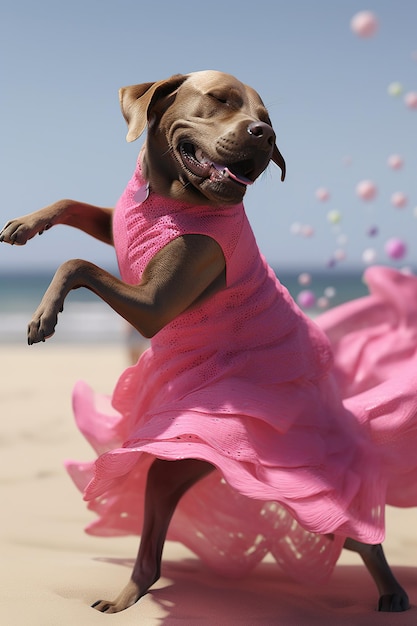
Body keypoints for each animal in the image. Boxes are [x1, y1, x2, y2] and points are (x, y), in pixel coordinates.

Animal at [0, 69, 410, 608]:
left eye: (267, 119)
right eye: (221, 100)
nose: (265, 135)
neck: (167, 197)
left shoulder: (155, 306)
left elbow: (78, 263)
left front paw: (44, 314)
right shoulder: (118, 219)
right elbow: (74, 206)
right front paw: (28, 223)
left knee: (351, 528)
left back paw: (392, 590)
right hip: (178, 461)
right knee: (154, 538)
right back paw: (128, 595)